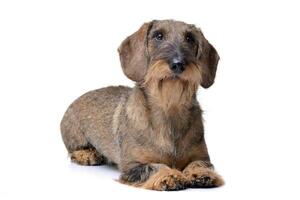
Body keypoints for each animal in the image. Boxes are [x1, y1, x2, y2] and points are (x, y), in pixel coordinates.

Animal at [60, 19, 223, 191]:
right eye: (158, 36)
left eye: (190, 38)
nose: (178, 64)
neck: (169, 109)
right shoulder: (133, 166)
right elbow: (156, 166)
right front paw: (169, 175)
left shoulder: (202, 156)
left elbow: (200, 163)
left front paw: (201, 173)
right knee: (73, 151)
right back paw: (88, 154)